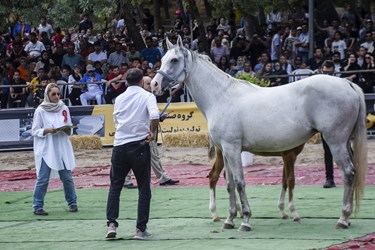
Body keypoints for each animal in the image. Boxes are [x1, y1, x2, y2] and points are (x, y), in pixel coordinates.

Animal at [151, 36, 368, 231]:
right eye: (163, 59)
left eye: (174, 60)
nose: (154, 84)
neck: (221, 97)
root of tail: (347, 84)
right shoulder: (226, 151)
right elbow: (229, 184)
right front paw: (230, 219)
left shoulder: (232, 149)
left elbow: (240, 183)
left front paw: (245, 220)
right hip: (344, 142)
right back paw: (347, 219)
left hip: (335, 142)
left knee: (348, 173)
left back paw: (343, 219)